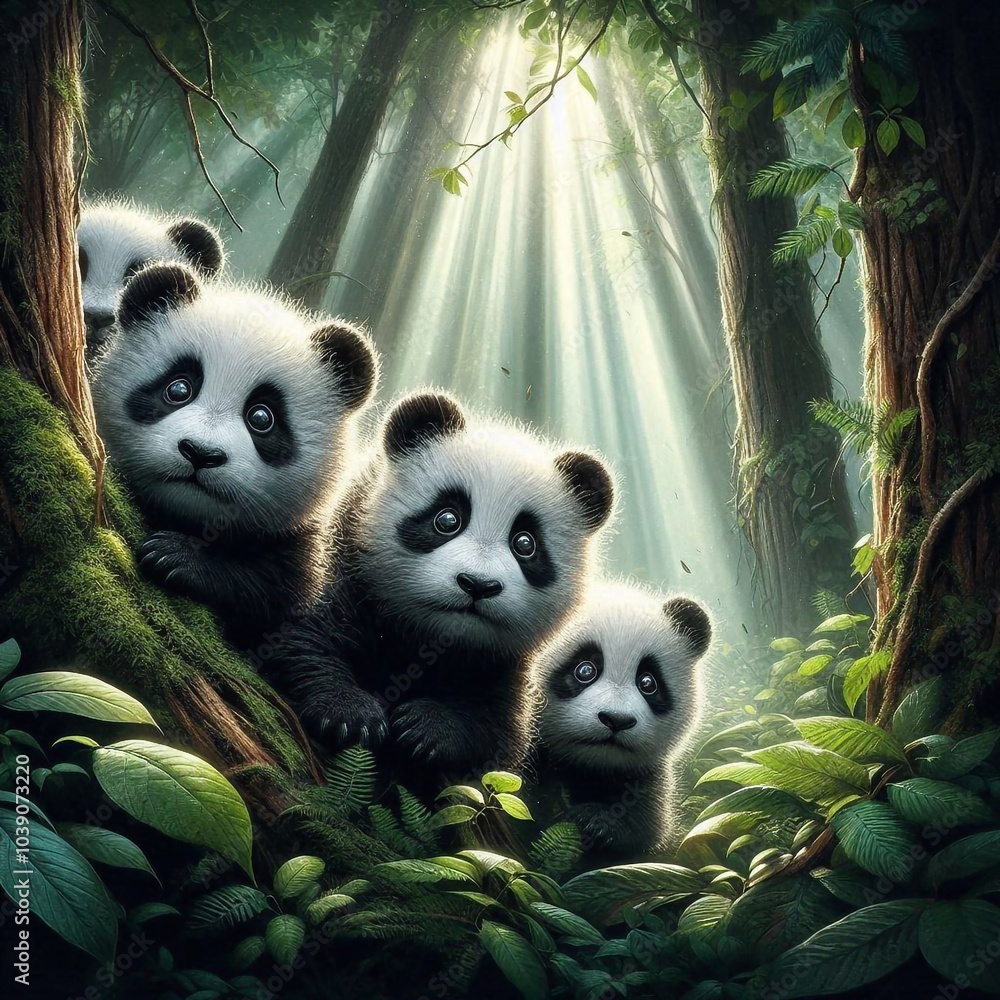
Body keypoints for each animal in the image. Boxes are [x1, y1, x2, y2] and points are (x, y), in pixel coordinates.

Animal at [90, 262, 378, 647]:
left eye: (262, 418)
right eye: (178, 389)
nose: (200, 454)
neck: (188, 518)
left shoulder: (304, 548)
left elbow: (273, 591)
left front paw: (176, 557)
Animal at [276, 391, 616, 787]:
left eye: (525, 543)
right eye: (448, 519)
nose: (478, 585)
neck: (430, 638)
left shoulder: (508, 668)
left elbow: (496, 732)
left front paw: (427, 730)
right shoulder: (342, 568)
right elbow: (303, 640)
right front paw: (349, 714)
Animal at [528, 582, 711, 861]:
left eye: (648, 682)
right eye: (585, 670)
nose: (616, 720)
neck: (591, 767)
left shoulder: (645, 778)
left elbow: (644, 827)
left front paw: (596, 821)